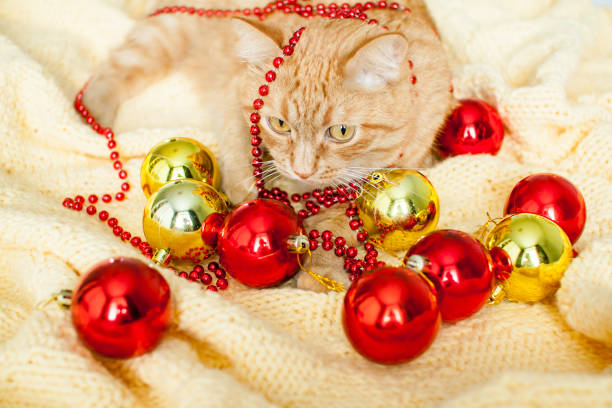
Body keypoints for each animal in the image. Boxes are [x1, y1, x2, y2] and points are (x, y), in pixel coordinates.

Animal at [82, 0, 454, 294]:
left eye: (341, 132)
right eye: (279, 124)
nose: (302, 169)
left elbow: (338, 224)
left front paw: (320, 269)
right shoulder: (233, 97)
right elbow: (238, 156)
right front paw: (246, 208)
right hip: (167, 34)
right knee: (118, 68)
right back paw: (90, 116)